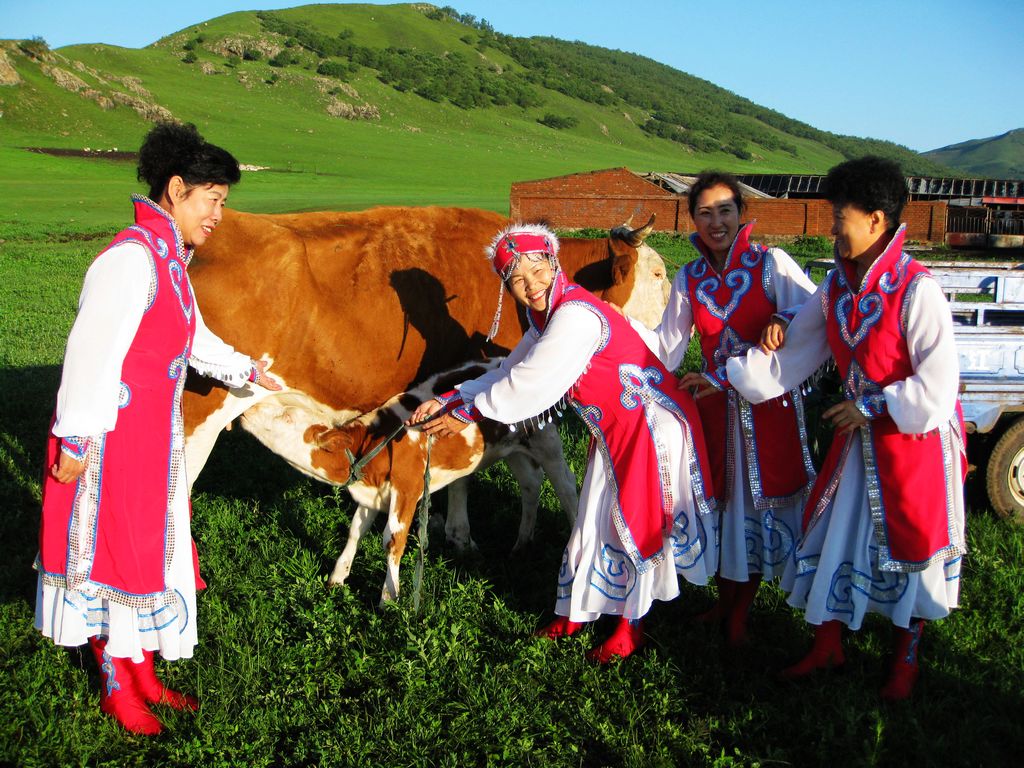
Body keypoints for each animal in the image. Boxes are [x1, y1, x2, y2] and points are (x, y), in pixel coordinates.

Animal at [301, 360, 577, 606]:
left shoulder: (407, 490)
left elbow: (393, 540)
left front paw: (389, 600)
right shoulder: (373, 493)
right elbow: (356, 529)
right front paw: (337, 578)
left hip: (546, 440)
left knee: (565, 486)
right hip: (511, 447)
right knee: (530, 482)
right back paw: (521, 545)